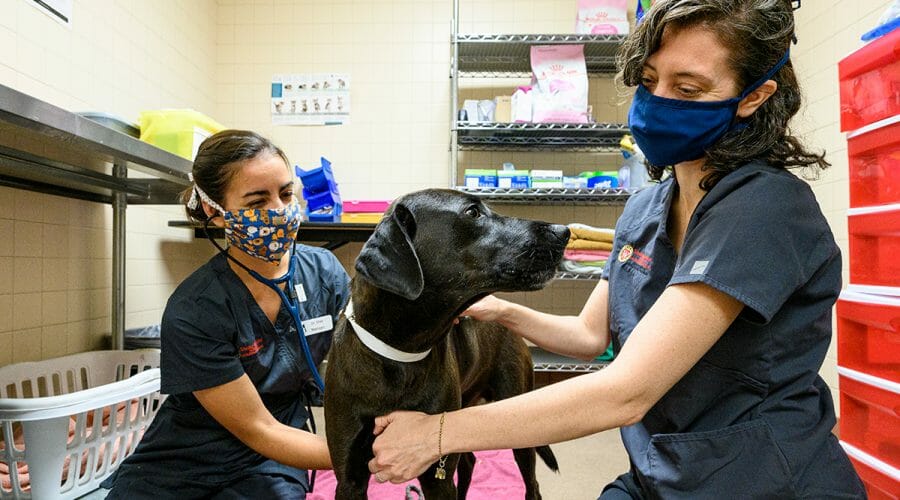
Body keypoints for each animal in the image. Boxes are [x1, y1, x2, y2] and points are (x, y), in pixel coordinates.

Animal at [326, 188, 568, 500]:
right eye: (473, 212)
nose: (564, 231)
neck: (399, 355)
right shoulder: (349, 478)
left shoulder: (434, 470)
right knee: (468, 462)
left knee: (530, 485)